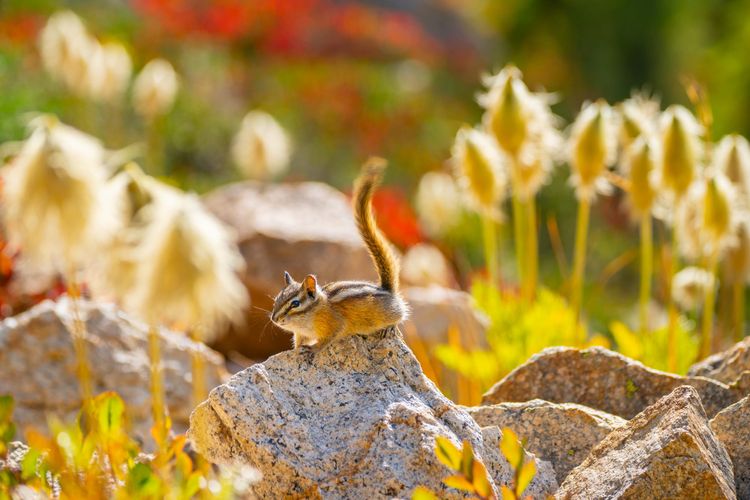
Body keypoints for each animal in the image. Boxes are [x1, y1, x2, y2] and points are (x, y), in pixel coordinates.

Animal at [270, 157, 408, 348]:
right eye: (277, 299)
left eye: (295, 303)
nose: (274, 319)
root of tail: (387, 290)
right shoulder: (300, 335)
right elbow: (298, 344)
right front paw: (298, 350)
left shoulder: (335, 325)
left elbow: (329, 338)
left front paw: (314, 349)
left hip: (391, 314)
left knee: (400, 317)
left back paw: (390, 328)